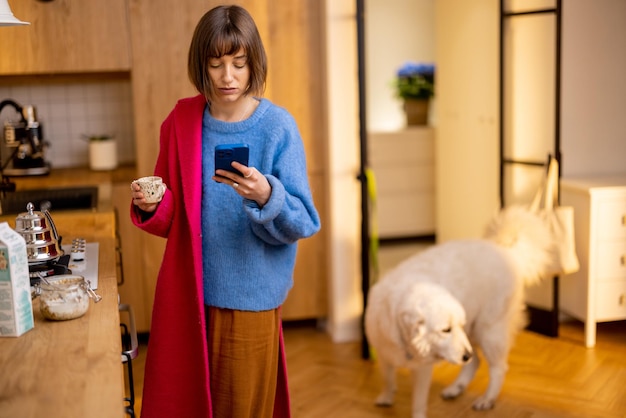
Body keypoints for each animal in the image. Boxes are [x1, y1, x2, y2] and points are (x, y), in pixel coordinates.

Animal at [364, 207, 552, 418]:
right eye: (446, 330)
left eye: (452, 327)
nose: (465, 355)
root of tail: (506, 251)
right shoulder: (383, 353)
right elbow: (387, 378)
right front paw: (386, 397)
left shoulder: (423, 371)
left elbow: (418, 402)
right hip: (472, 335)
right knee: (475, 362)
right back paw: (456, 388)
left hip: (487, 332)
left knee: (497, 368)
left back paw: (487, 399)